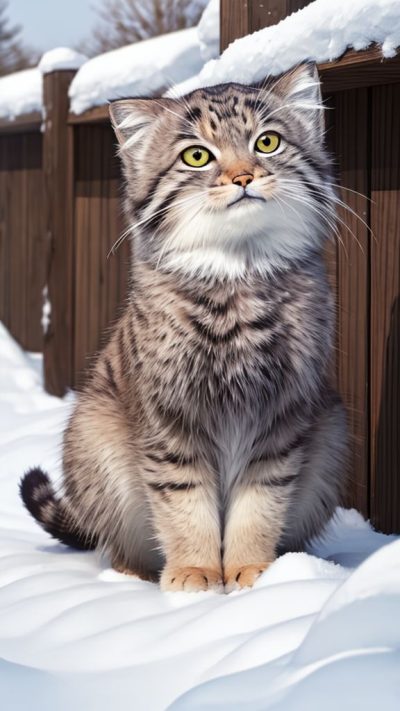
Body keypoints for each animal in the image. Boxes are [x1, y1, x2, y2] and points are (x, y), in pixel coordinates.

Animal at [21, 64, 346, 592]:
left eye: (267, 142)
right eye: (197, 155)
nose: (243, 176)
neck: (237, 279)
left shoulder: (282, 420)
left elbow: (260, 505)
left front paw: (252, 572)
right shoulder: (170, 423)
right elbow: (184, 505)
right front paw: (196, 573)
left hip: (332, 432)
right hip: (95, 434)